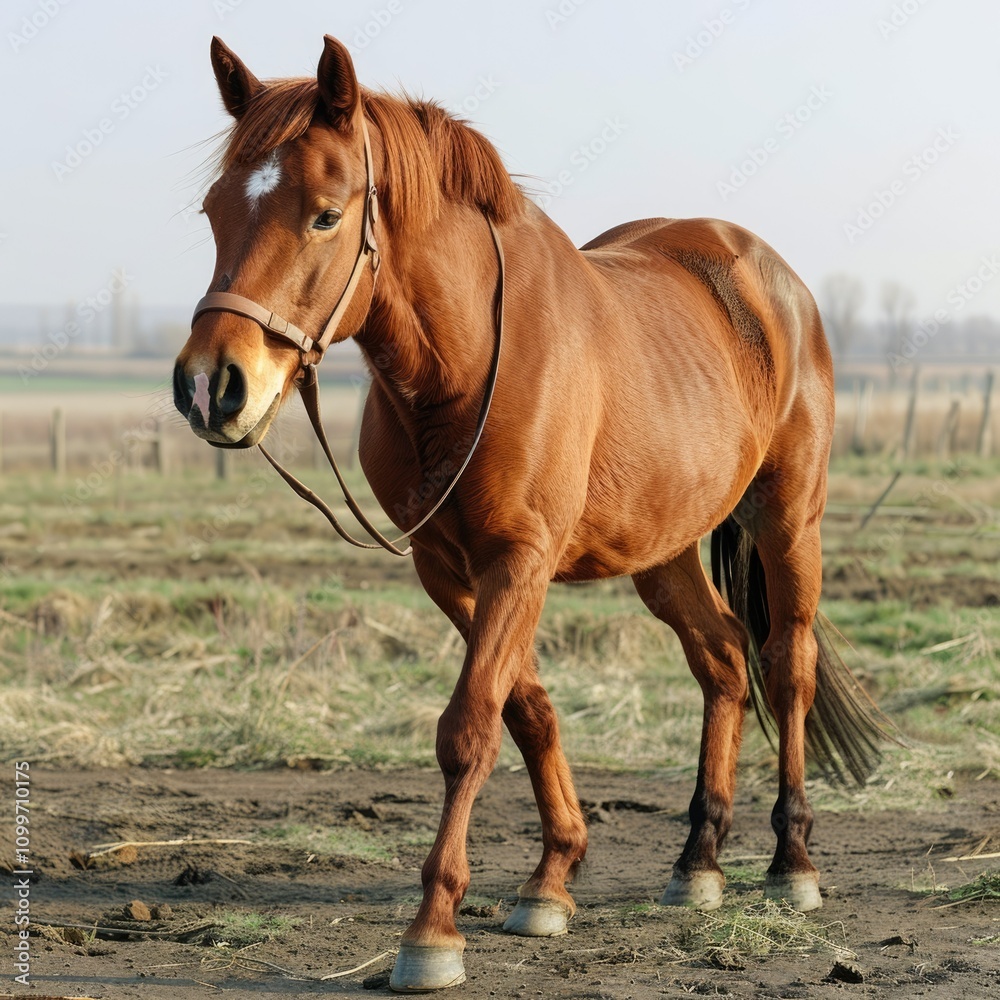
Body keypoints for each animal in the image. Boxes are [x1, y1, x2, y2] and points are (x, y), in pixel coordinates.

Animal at [173, 35, 889, 992]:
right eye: (215, 209)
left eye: (325, 216)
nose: (211, 386)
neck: (468, 360)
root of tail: (771, 279)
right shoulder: (448, 568)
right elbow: (526, 710)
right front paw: (553, 877)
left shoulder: (521, 559)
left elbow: (470, 727)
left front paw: (433, 930)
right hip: (661, 549)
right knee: (723, 660)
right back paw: (697, 862)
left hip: (788, 523)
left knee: (786, 667)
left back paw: (792, 863)